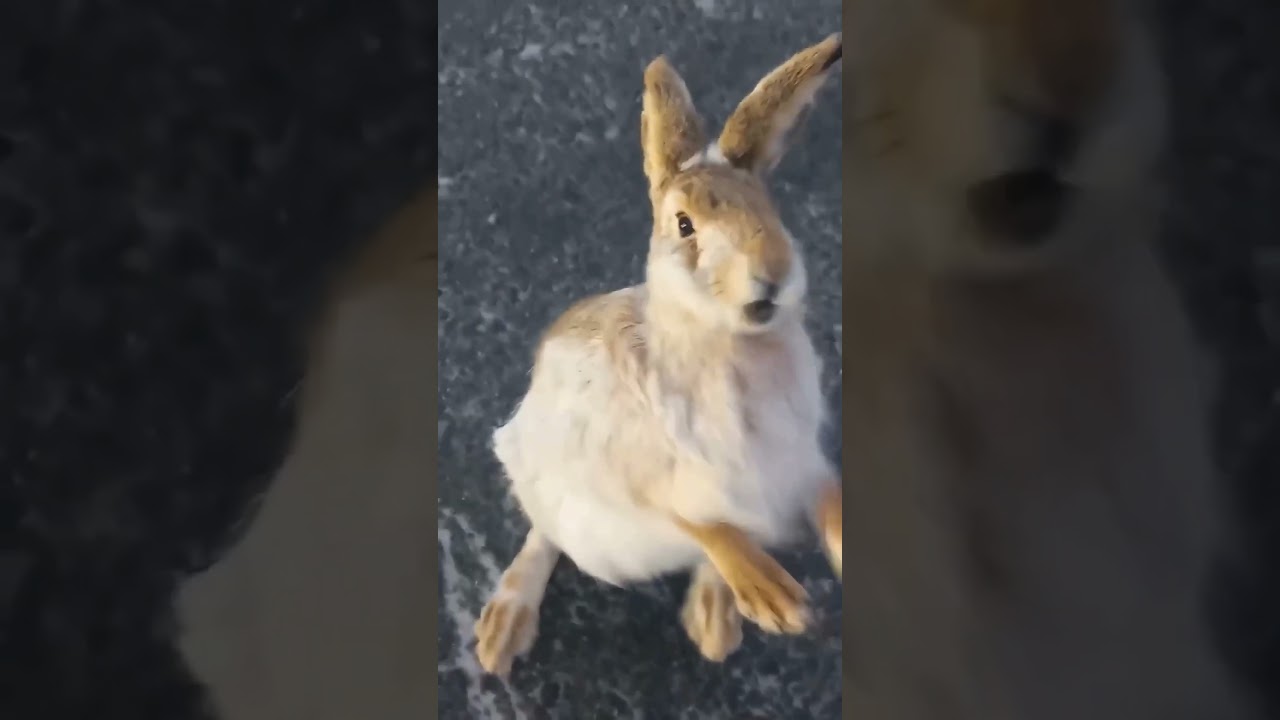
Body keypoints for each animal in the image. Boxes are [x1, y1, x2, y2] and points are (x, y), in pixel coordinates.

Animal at [473, 34, 842, 677]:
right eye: (685, 225)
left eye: (770, 212)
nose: (772, 277)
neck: (729, 347)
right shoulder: (651, 478)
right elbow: (700, 521)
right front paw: (775, 601)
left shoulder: (800, 465)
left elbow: (828, 501)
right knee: (546, 533)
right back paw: (502, 629)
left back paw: (715, 619)